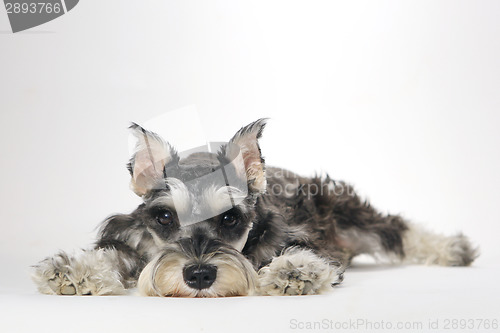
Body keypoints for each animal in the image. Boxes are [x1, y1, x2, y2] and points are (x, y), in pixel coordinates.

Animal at [30, 117, 476, 296]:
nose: (199, 275)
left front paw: (293, 271)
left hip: (348, 212)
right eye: (165, 216)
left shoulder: (300, 235)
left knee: (397, 228)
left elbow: (306, 255)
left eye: (230, 218)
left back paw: (453, 249)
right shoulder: (135, 237)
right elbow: (113, 254)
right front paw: (73, 271)